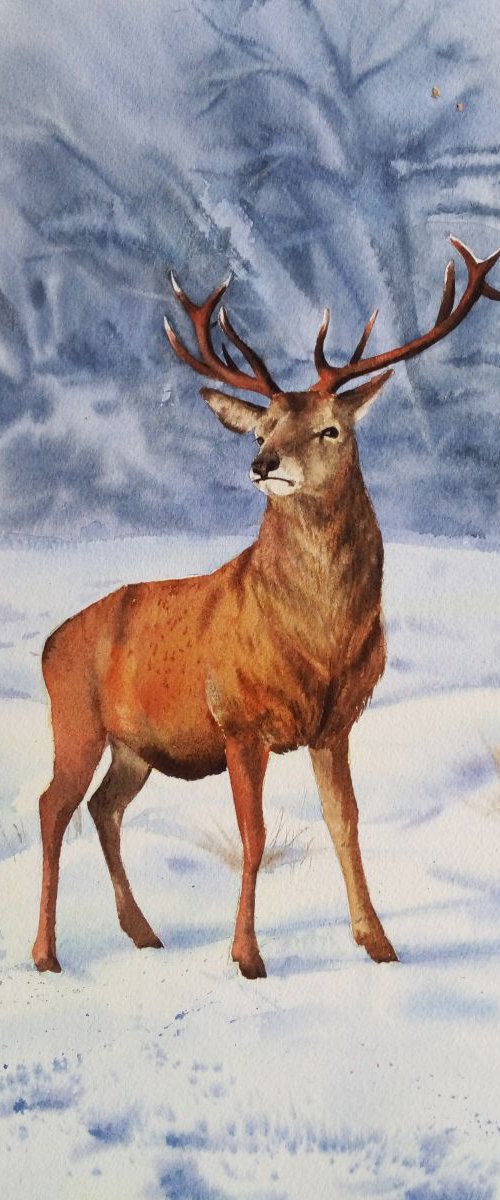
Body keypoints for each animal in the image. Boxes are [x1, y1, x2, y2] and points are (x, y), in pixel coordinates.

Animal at [32, 237, 500, 979]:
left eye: (331, 429)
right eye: (262, 432)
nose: (263, 464)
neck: (317, 643)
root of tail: (49, 643)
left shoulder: (335, 723)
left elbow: (346, 823)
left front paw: (379, 944)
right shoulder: (239, 720)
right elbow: (252, 836)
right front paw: (248, 957)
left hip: (135, 745)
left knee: (104, 808)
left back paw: (144, 933)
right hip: (74, 719)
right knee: (54, 806)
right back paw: (47, 954)